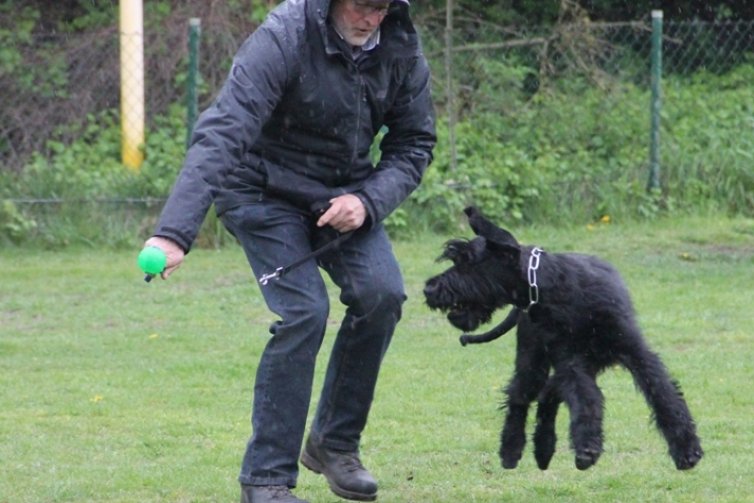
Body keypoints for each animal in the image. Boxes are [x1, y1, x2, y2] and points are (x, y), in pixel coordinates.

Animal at [424, 207, 700, 470]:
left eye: (466, 262)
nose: (428, 288)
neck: (551, 287)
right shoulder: (572, 363)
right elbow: (587, 398)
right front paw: (588, 447)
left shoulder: (636, 353)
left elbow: (663, 393)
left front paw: (687, 449)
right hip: (532, 360)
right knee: (521, 395)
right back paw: (512, 450)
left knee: (548, 392)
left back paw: (543, 448)